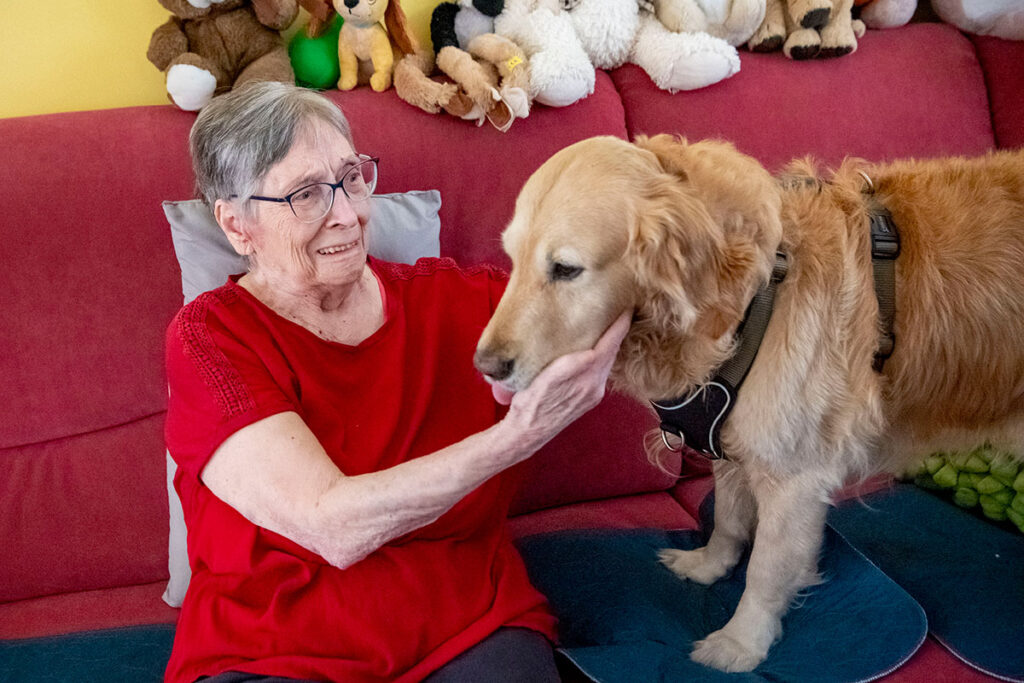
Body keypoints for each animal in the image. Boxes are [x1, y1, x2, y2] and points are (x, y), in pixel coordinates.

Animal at [473, 135, 1024, 671]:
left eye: (566, 269)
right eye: (513, 259)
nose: (486, 366)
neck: (753, 297)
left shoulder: (795, 478)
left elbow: (765, 569)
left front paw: (741, 643)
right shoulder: (731, 443)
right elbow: (730, 520)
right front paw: (707, 566)